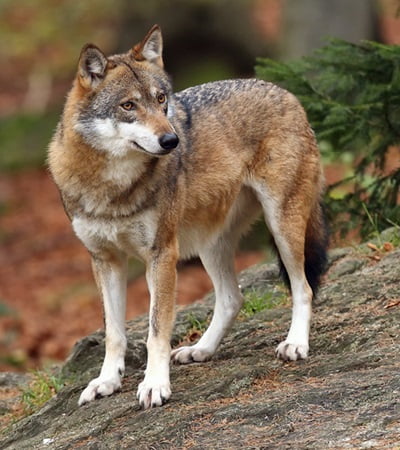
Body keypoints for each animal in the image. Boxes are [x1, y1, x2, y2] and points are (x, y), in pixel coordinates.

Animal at [47, 26, 328, 410]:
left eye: (161, 99)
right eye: (128, 105)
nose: (171, 140)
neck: (112, 188)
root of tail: (286, 91)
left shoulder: (162, 255)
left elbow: (155, 331)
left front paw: (154, 385)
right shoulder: (105, 260)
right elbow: (114, 334)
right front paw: (106, 382)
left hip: (282, 225)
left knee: (303, 287)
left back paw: (296, 343)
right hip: (209, 244)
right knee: (233, 298)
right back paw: (201, 350)